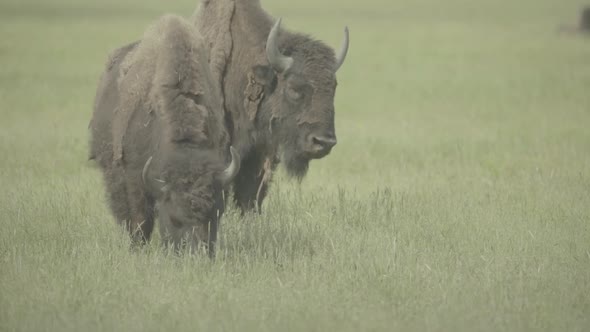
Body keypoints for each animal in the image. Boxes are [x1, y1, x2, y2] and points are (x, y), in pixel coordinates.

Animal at [88, 14, 240, 255]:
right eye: (174, 219)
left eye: (214, 215)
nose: (196, 252)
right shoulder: (135, 177)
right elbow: (141, 219)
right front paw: (138, 249)